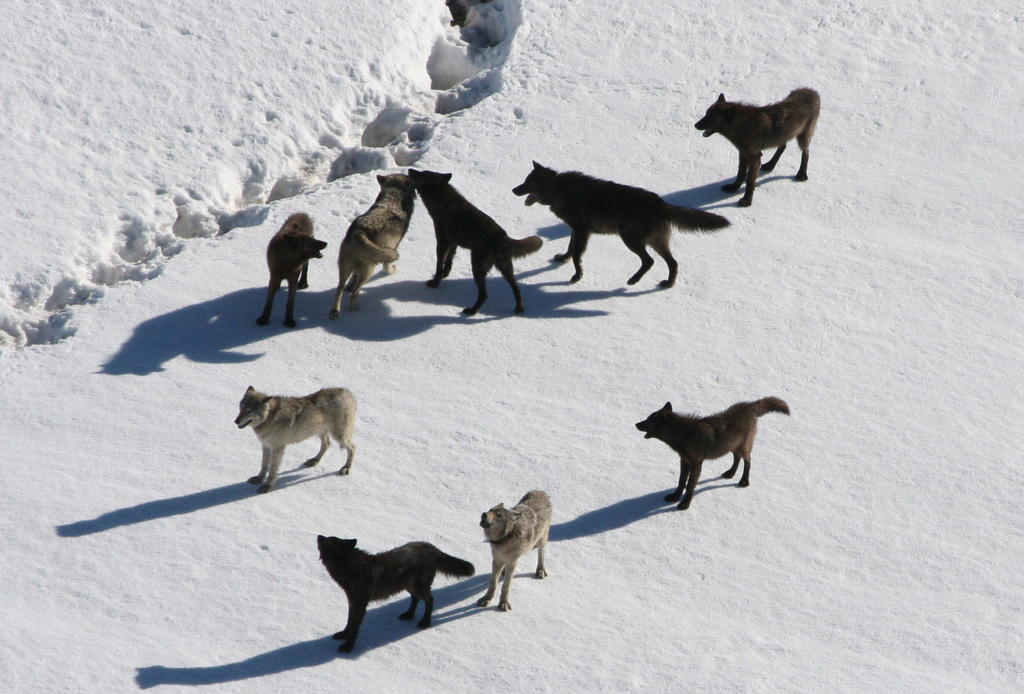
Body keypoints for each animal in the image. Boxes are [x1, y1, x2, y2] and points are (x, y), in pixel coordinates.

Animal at [315, 536, 475, 655]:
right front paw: (342, 635)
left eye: (325, 541)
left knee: (430, 600)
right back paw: (408, 615)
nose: (318, 535)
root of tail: (432, 547)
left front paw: (348, 647)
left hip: (418, 587)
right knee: (415, 599)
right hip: (408, 586)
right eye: (329, 537)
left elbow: (354, 627)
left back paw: (425, 622)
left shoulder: (360, 605)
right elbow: (349, 622)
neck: (352, 567)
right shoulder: (352, 602)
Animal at [327, 174, 415, 317]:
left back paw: (335, 311)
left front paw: (350, 285)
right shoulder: (394, 247)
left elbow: (353, 277)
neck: (393, 197)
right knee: (355, 293)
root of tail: (358, 232)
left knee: (339, 288)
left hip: (344, 268)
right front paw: (391, 272)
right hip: (369, 271)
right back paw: (355, 309)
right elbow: (387, 266)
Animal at [405, 169, 544, 317]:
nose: (409, 170)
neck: (444, 203)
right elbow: (448, 263)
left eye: (421, 174)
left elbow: (439, 264)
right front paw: (445, 275)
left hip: (477, 267)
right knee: (516, 288)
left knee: (484, 294)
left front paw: (435, 282)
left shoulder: (442, 242)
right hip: (505, 269)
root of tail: (502, 236)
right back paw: (519, 308)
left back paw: (471, 311)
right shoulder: (453, 243)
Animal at [512, 162, 729, 288]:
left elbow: (576, 255)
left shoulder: (582, 230)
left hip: (630, 239)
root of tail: (661, 203)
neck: (558, 189)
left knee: (649, 261)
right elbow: (571, 249)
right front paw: (562, 259)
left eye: (527, 183)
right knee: (673, 263)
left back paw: (633, 280)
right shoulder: (576, 230)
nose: (513, 190)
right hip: (656, 242)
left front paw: (577, 276)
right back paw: (668, 284)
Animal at [630, 397, 790, 511]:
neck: (684, 434)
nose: (636, 424)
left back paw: (744, 481)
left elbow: (690, 485)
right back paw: (730, 473)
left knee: (748, 461)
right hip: (732, 446)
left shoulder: (696, 464)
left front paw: (684, 504)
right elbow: (681, 481)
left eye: (648, 421)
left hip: (743, 448)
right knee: (737, 459)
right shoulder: (684, 460)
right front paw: (675, 497)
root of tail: (750, 405)